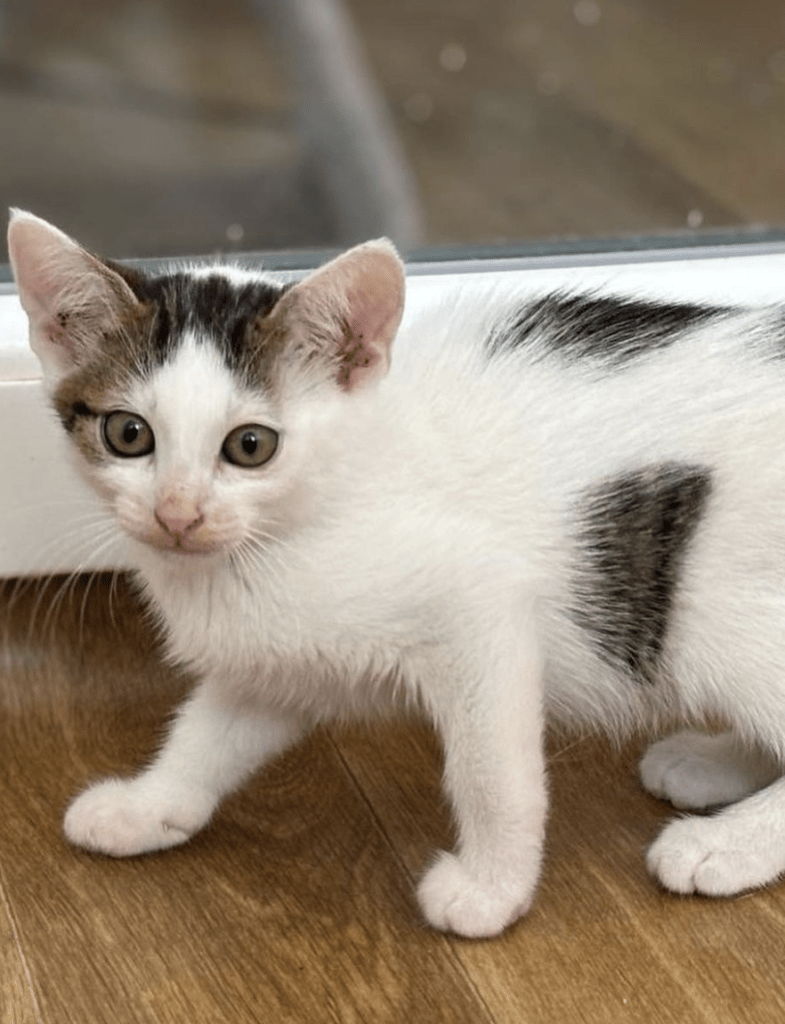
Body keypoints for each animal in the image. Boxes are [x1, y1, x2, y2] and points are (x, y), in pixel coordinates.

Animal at [9, 207, 785, 937]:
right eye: (127, 434)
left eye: (250, 446)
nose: (177, 514)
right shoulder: (280, 657)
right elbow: (209, 734)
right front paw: (148, 806)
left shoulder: (483, 608)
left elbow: (490, 772)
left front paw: (491, 889)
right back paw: (713, 764)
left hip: (705, 611)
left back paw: (722, 845)